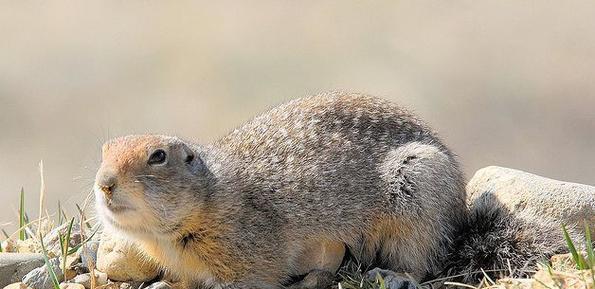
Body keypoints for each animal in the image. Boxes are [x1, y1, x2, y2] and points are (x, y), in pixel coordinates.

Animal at [94, 91, 584, 286]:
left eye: (158, 157)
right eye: (103, 149)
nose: (103, 183)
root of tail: (461, 219)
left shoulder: (247, 250)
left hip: (418, 194)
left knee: (423, 260)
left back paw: (394, 274)